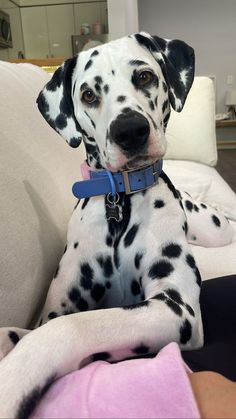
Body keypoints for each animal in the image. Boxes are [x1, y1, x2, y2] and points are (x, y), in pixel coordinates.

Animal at [0, 32, 233, 416]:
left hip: (217, 229)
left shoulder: (176, 306)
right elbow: (22, 330)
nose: (130, 131)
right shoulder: (52, 310)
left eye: (144, 76)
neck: (119, 204)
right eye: (88, 95)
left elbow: (69, 328)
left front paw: (13, 378)